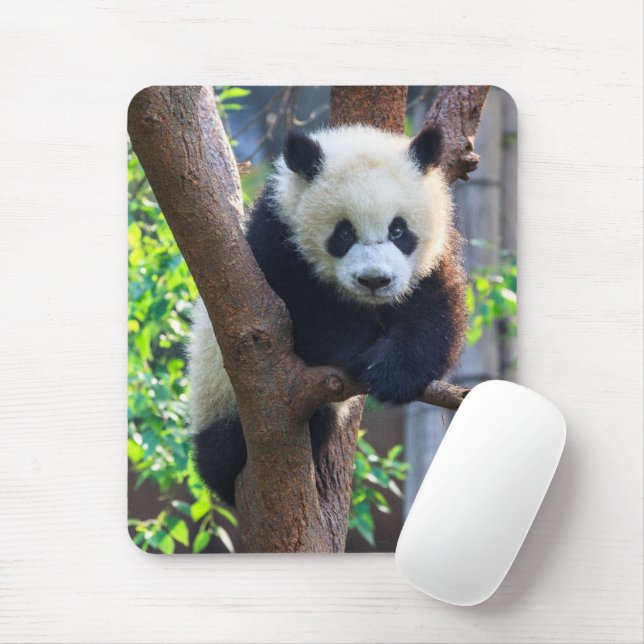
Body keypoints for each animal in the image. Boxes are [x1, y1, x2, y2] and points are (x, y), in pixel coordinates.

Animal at [188, 124, 467, 506]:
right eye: (344, 232)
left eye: (398, 230)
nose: (374, 280)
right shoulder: (276, 244)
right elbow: (304, 316)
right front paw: (360, 354)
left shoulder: (432, 258)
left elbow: (434, 312)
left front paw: (393, 374)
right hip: (218, 395)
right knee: (224, 450)